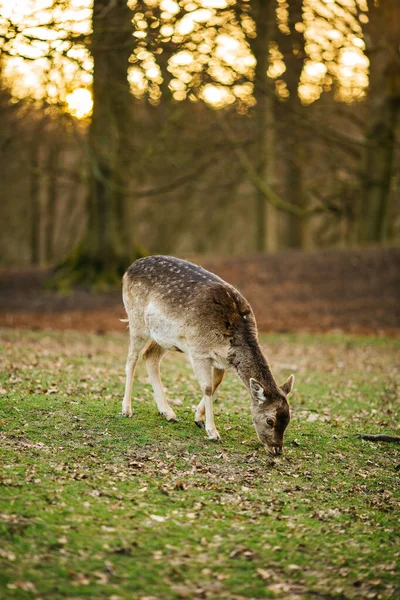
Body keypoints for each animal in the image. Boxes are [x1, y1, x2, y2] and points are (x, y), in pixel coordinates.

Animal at [122, 255, 294, 458]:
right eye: (270, 420)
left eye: (288, 419)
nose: (277, 450)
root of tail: (128, 269)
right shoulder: (198, 351)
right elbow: (207, 387)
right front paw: (213, 432)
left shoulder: (220, 360)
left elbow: (216, 383)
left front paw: (199, 419)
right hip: (136, 319)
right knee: (131, 359)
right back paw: (127, 409)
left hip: (164, 337)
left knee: (150, 356)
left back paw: (168, 413)